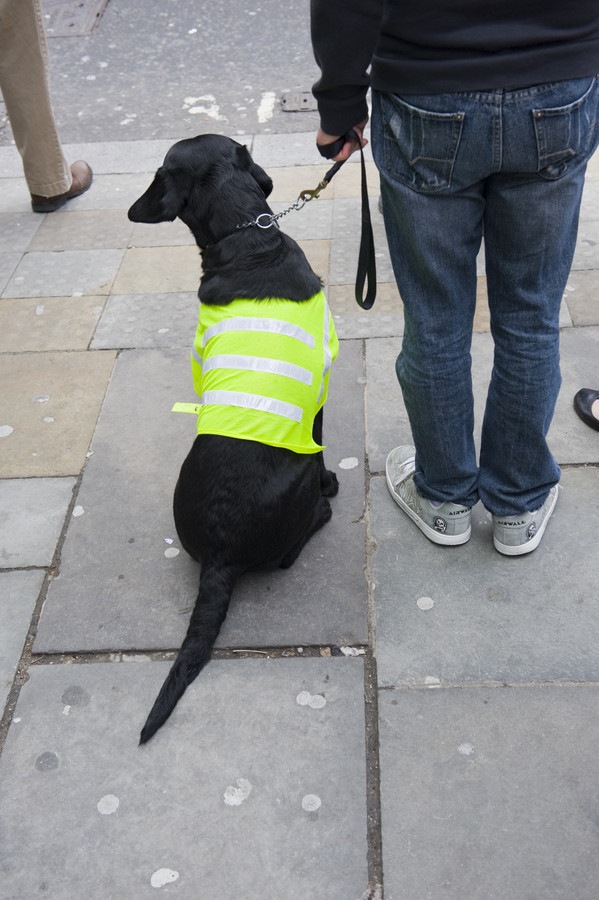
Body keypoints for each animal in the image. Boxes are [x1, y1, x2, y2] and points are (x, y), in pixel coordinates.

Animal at [127, 132, 340, 740]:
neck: (248, 239)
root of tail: (220, 559)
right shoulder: (320, 393)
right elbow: (323, 443)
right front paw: (333, 484)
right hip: (296, 483)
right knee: (291, 551)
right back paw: (322, 509)